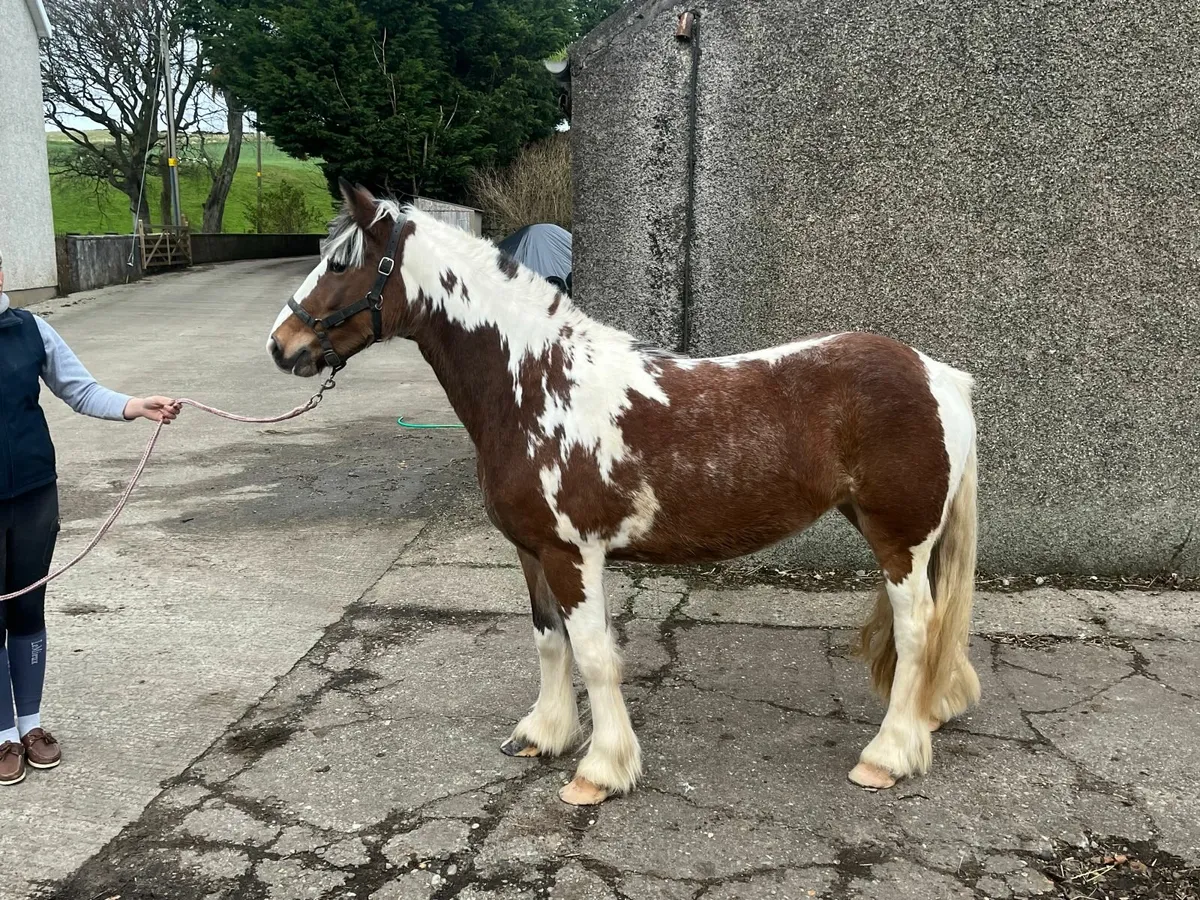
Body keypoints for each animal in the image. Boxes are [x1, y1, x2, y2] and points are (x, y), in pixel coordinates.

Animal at [267, 179, 981, 806]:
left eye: (340, 262)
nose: (281, 345)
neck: (535, 385)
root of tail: (937, 373)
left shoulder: (573, 555)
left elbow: (593, 654)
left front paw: (600, 771)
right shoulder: (532, 550)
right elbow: (548, 640)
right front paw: (543, 735)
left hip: (900, 540)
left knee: (916, 629)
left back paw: (887, 755)